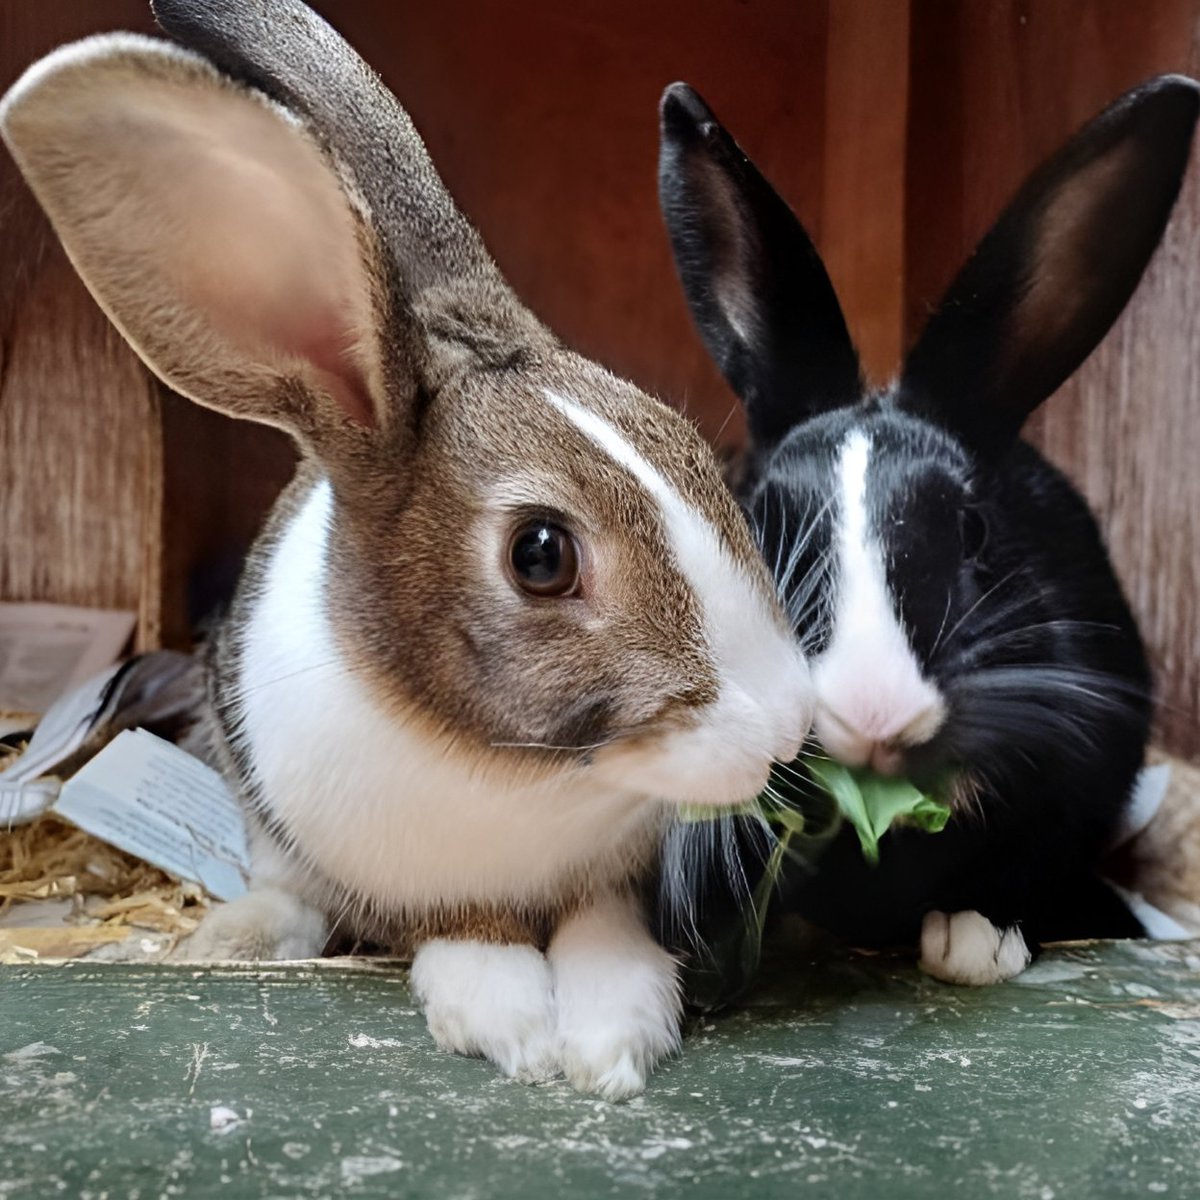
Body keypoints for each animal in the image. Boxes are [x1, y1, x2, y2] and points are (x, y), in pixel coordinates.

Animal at [0, 0, 814, 1099]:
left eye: (694, 452)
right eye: (541, 554)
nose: (787, 726)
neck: (522, 777)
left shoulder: (614, 875)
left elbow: (601, 928)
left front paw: (614, 1037)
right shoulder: (409, 883)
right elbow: (467, 930)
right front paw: (513, 1026)